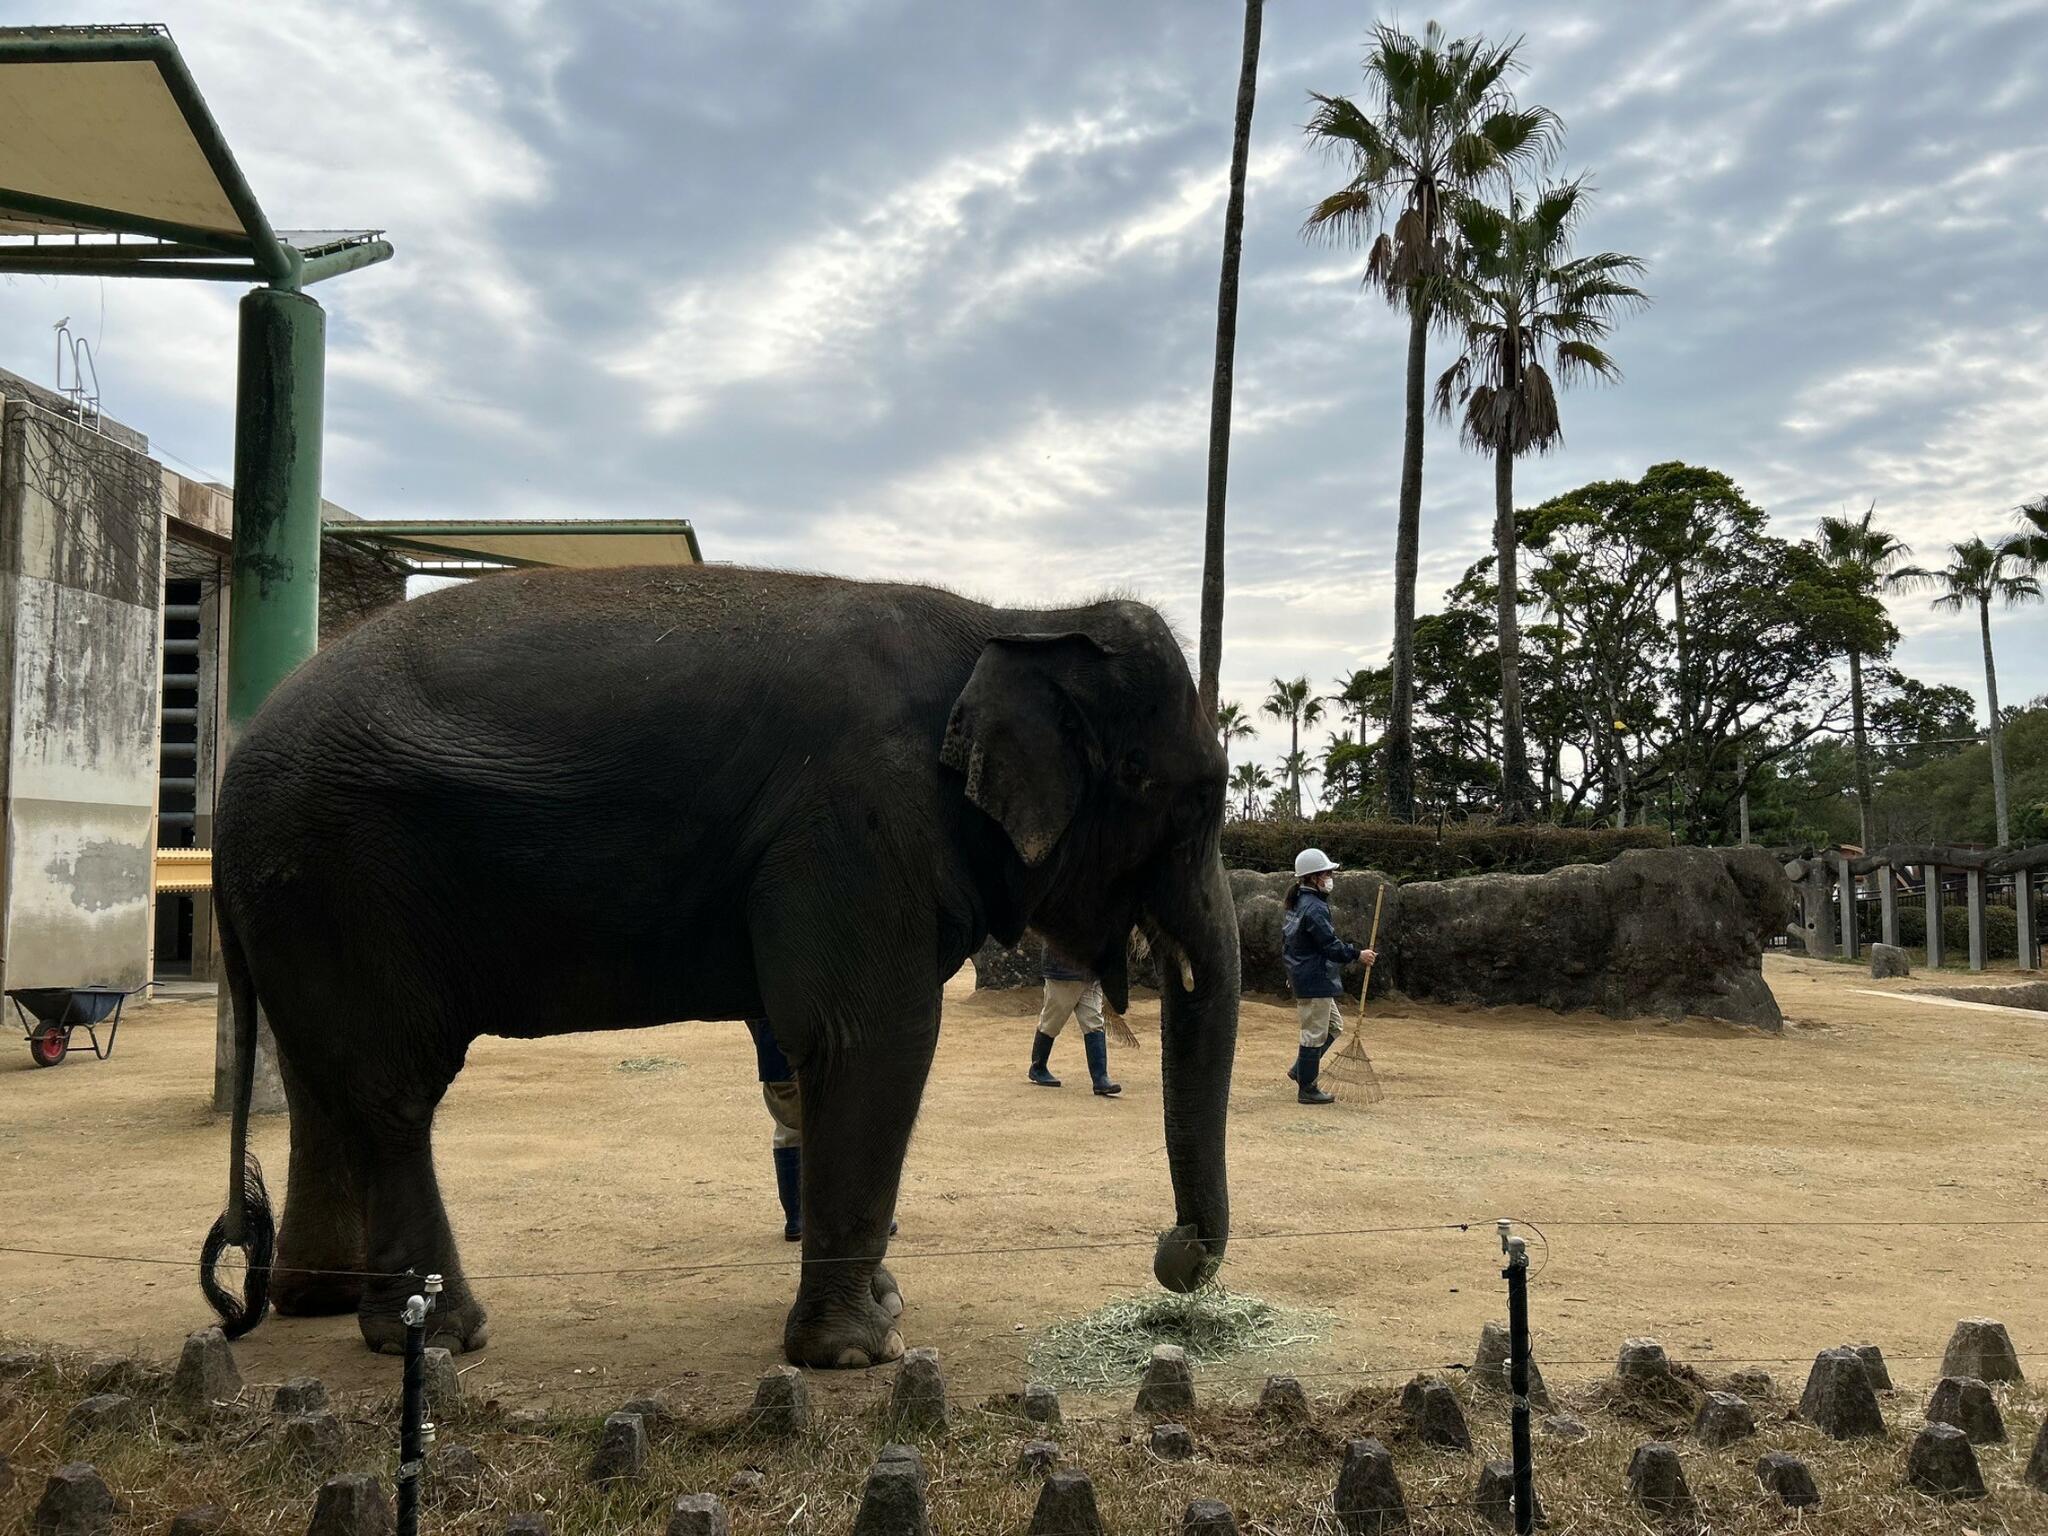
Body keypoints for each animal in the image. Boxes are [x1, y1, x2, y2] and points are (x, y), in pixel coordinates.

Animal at [199, 569, 1236, 1368]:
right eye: (1179, 798)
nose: (1173, 1251)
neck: (1019, 618)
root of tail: (228, 787)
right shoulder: (859, 819)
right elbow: (869, 1037)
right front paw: (861, 1354)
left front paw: (886, 1309)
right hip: (342, 874)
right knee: (392, 1091)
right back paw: (441, 1336)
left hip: (303, 901)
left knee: (326, 1082)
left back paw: (327, 1304)